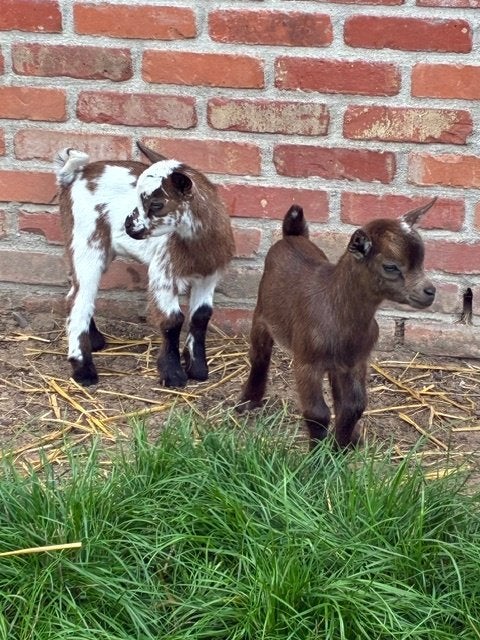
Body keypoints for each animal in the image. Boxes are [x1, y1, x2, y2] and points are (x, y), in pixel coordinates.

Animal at [54, 142, 235, 388]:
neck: (198, 247)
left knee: (75, 289)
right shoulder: (163, 273)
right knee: (78, 300)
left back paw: (96, 341)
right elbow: (172, 320)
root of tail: (73, 175)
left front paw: (198, 369)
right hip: (87, 240)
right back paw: (84, 370)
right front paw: (173, 375)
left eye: (156, 204)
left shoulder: (209, 277)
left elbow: (201, 316)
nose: (129, 225)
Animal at [238, 200, 436, 449]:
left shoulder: (356, 361)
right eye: (391, 266)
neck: (336, 310)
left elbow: (354, 406)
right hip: (262, 314)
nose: (430, 292)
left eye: (422, 260)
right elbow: (317, 412)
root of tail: (291, 235)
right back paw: (248, 401)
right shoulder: (306, 362)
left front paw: (341, 447)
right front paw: (318, 454)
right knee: (260, 354)